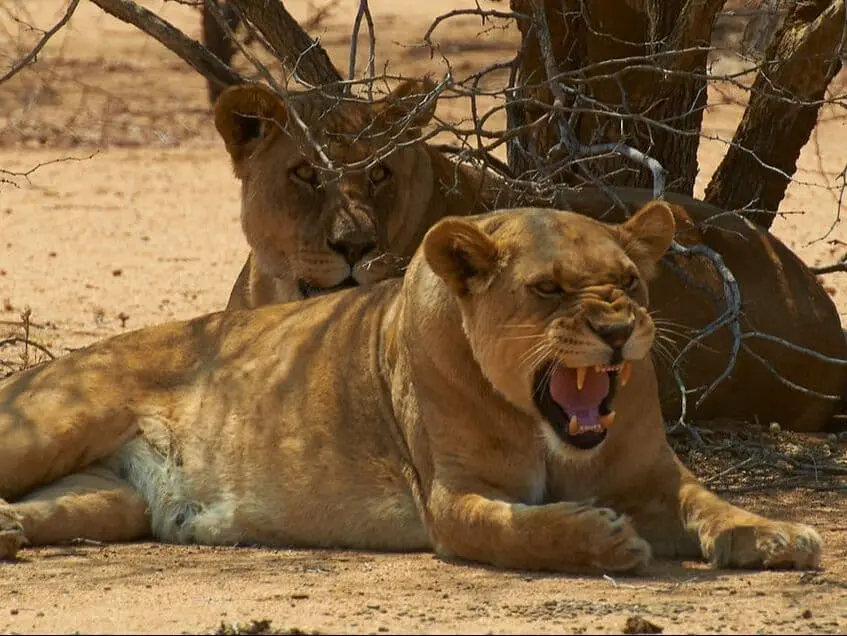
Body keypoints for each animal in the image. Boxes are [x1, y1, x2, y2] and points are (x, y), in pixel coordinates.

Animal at [0, 203, 821, 572]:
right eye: (548, 290)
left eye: (628, 282)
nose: (620, 330)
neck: (549, 432)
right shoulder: (450, 500)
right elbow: (518, 528)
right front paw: (599, 538)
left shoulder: (654, 476)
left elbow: (709, 503)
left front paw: (773, 534)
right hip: (52, 423)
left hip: (114, 501)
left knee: (58, 507)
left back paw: (10, 532)